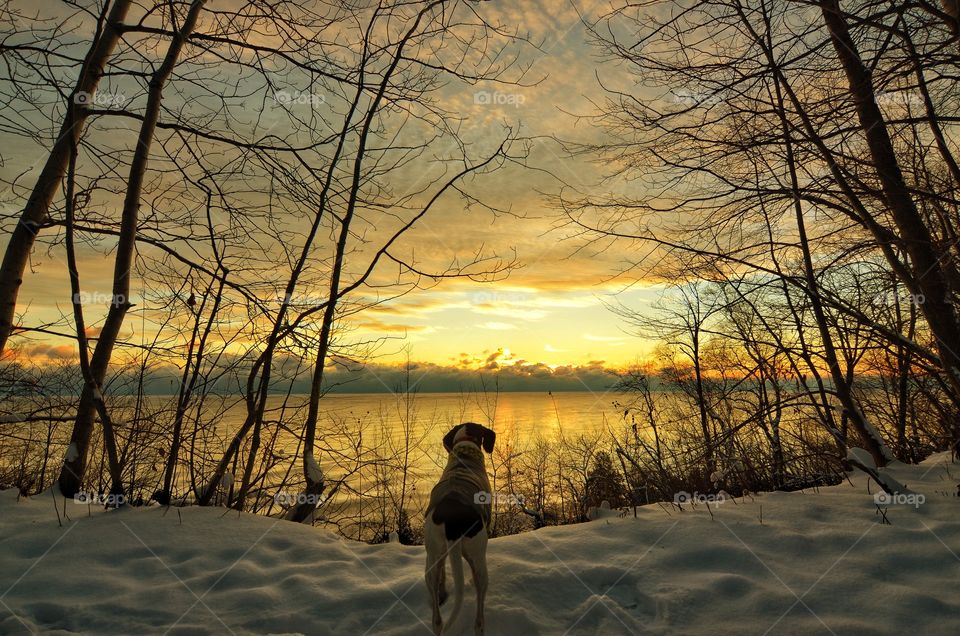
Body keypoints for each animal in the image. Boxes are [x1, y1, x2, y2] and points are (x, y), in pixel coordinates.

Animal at [424, 422, 496, 636]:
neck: (465, 455)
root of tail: (452, 523)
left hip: (432, 556)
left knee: (437, 620)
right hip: (478, 555)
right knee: (479, 618)